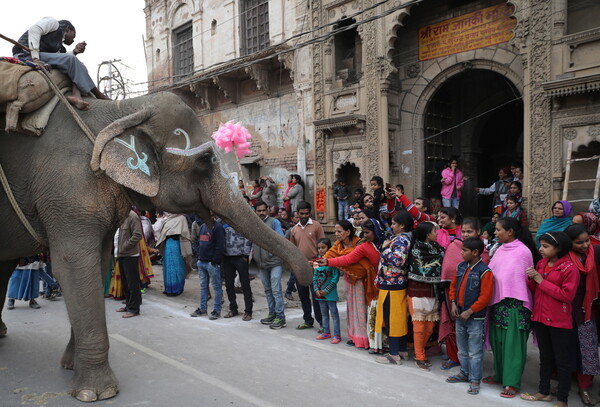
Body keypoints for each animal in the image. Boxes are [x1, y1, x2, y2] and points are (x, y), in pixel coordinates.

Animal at [0, 91, 312, 402]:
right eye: (205, 160)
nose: (307, 276)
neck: (122, 109)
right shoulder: (68, 189)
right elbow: (74, 268)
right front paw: (96, 393)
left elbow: (96, 265)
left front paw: (72, 368)